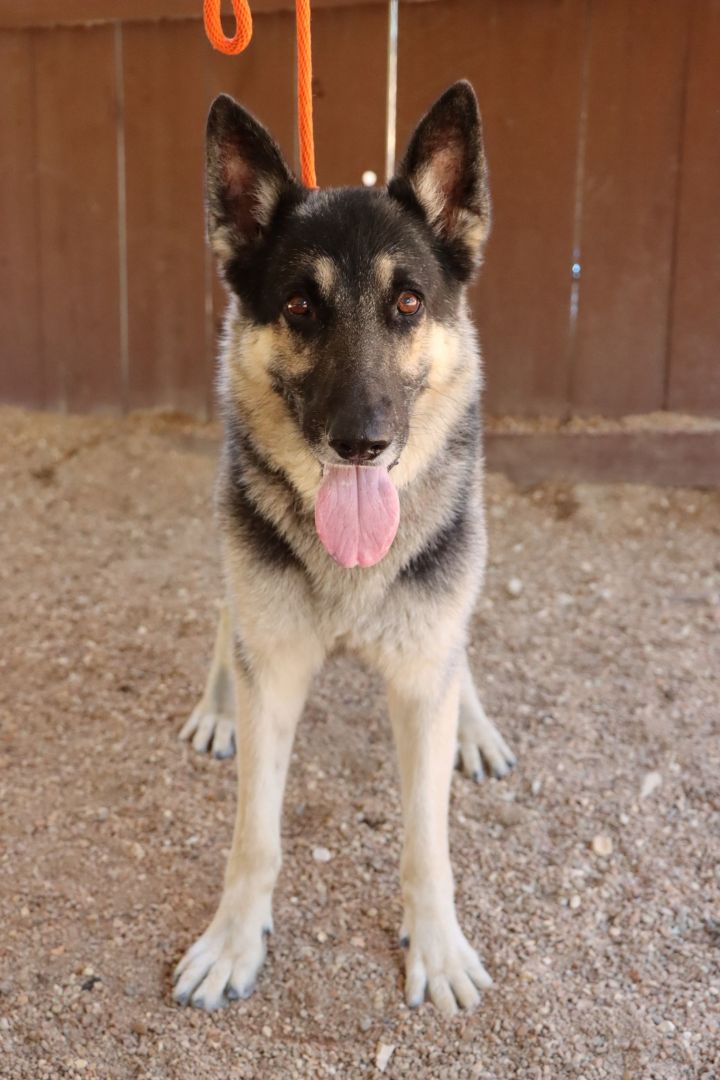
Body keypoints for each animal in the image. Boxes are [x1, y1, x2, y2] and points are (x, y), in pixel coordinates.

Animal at [171, 82, 515, 1010]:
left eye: (408, 304)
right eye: (299, 306)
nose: (360, 443)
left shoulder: (421, 678)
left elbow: (427, 841)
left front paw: (436, 946)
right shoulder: (277, 674)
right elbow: (254, 835)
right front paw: (233, 940)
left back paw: (474, 723)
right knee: (229, 623)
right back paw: (216, 705)